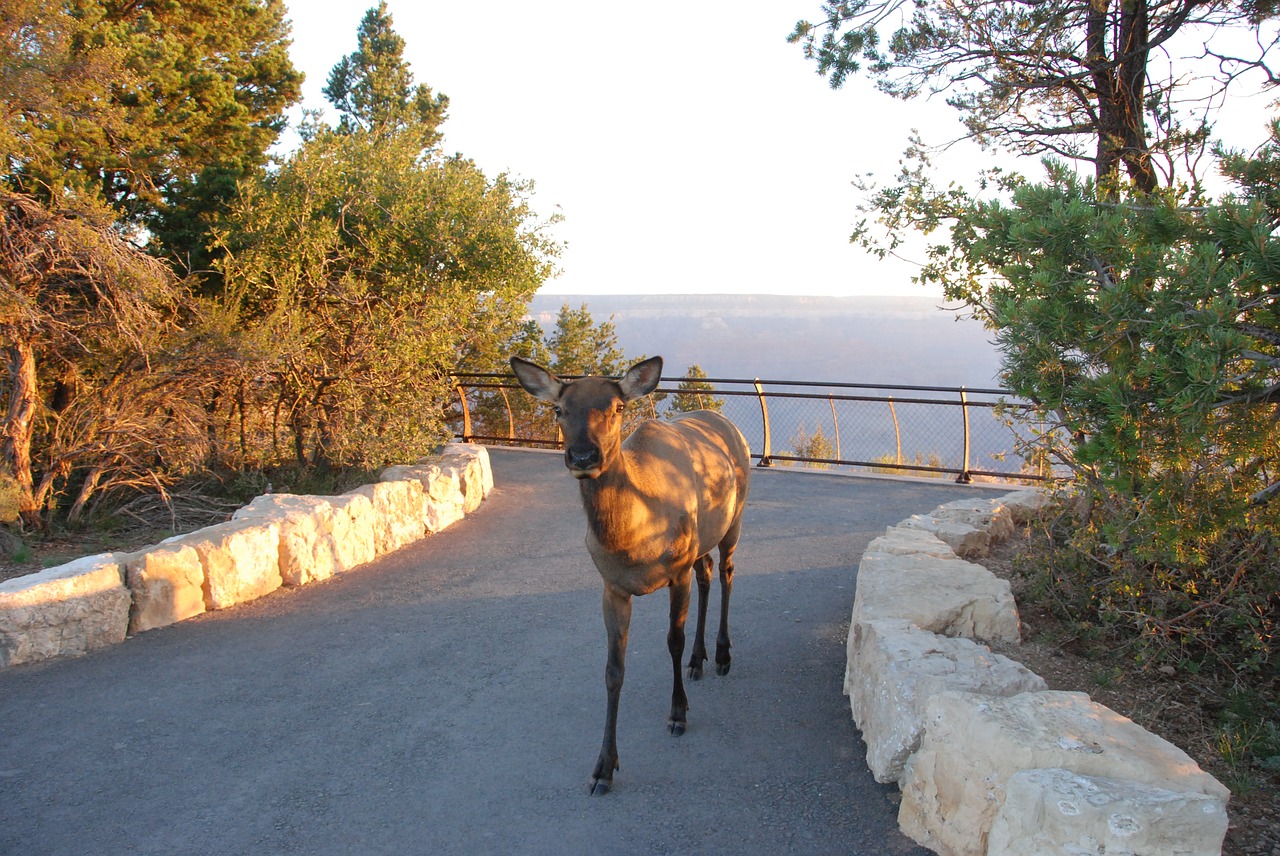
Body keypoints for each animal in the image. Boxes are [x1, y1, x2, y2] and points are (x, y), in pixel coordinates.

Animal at [509, 353, 747, 793]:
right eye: (559, 409)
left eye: (617, 407)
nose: (583, 457)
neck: (633, 543)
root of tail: (728, 424)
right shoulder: (612, 588)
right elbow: (612, 670)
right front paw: (604, 765)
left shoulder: (676, 572)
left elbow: (672, 641)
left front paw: (678, 713)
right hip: (700, 540)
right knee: (707, 573)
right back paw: (699, 659)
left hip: (733, 520)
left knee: (726, 572)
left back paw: (722, 654)